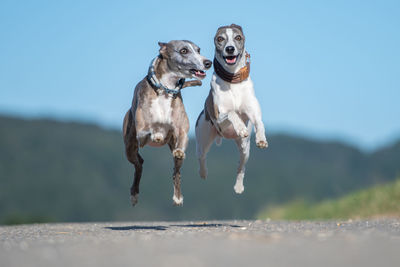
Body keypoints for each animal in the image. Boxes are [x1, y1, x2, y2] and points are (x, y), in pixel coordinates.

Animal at [123, 40, 212, 207]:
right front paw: (157, 134)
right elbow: (149, 131)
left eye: (198, 50)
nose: (208, 62)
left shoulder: (181, 130)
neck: (165, 90)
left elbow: (182, 138)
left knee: (175, 172)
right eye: (183, 50)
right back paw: (134, 194)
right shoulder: (141, 133)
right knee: (138, 164)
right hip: (129, 147)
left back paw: (177, 197)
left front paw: (179, 150)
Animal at [195, 24, 268, 194]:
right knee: (201, 156)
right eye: (220, 38)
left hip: (245, 149)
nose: (229, 49)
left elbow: (259, 122)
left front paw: (261, 138)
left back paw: (239, 187)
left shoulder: (253, 111)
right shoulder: (220, 114)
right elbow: (232, 112)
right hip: (203, 137)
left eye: (238, 37)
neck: (233, 80)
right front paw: (240, 127)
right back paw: (203, 173)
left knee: (241, 168)